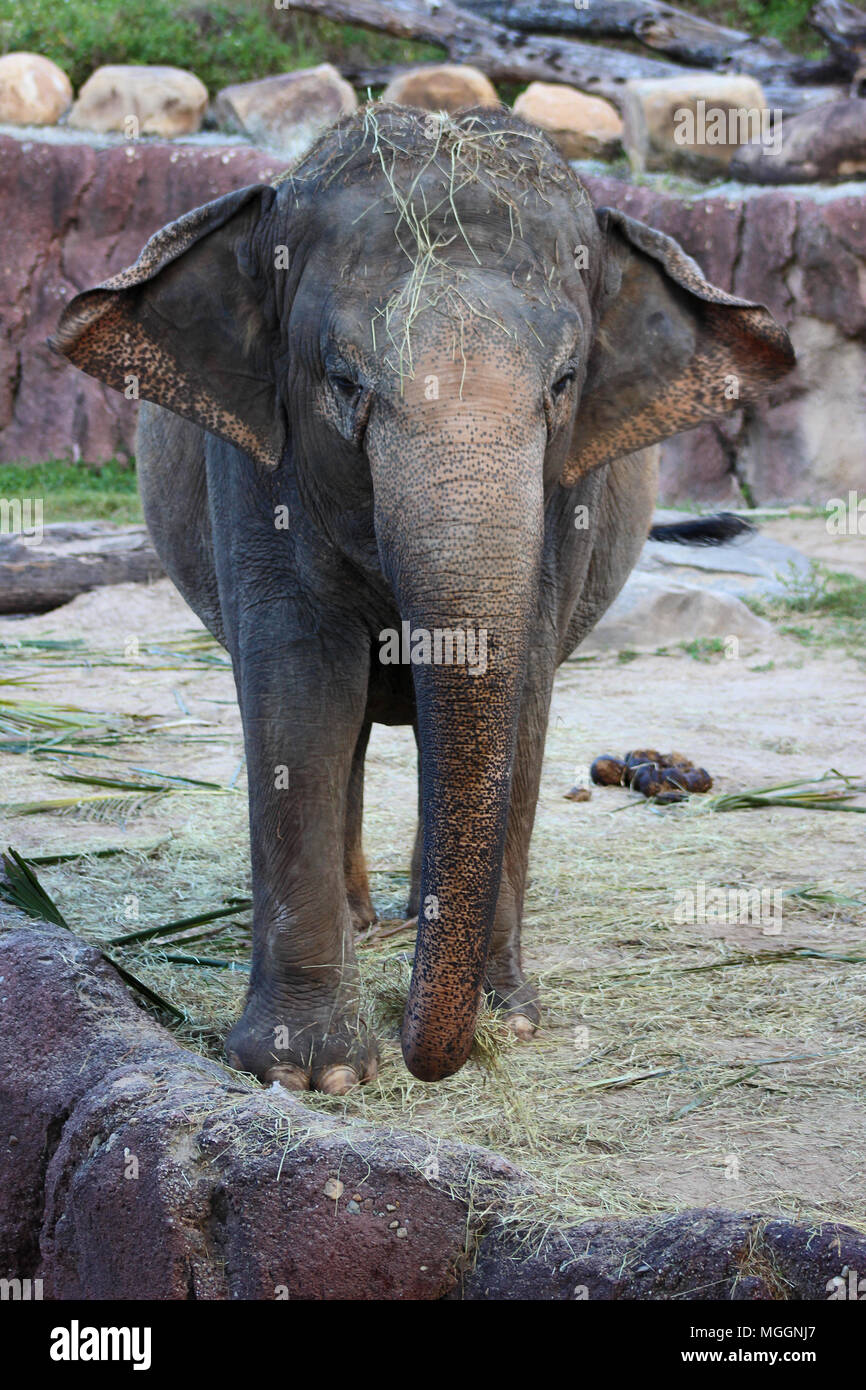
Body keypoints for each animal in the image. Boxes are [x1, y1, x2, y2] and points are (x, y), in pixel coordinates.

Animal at [52, 102, 800, 1089]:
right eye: (342, 382)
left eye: (564, 384)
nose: (426, 1056)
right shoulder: (255, 469)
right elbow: (299, 685)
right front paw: (309, 1072)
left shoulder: (572, 501)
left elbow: (521, 692)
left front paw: (504, 1023)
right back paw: (371, 924)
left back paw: (409, 920)